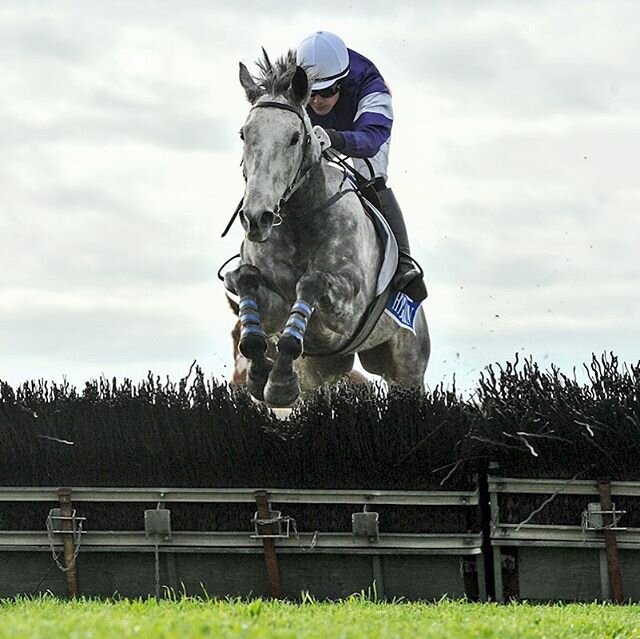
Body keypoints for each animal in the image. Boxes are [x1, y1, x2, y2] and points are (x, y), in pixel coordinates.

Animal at [225, 51, 430, 410]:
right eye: (244, 134)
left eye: (295, 137)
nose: (256, 218)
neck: (297, 219)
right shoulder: (274, 307)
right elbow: (244, 279)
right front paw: (263, 375)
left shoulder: (347, 307)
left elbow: (312, 281)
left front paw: (277, 383)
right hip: (322, 369)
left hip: (407, 368)